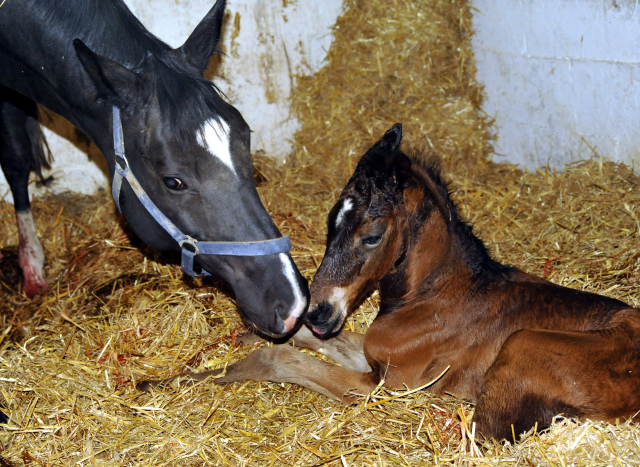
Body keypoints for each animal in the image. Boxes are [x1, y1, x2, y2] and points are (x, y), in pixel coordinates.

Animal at [140, 124, 640, 442]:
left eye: (372, 235)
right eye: (329, 224)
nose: (320, 310)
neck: (437, 297)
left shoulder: (383, 386)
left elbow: (278, 359)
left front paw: (194, 377)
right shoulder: (371, 357)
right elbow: (311, 340)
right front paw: (171, 376)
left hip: (522, 343)